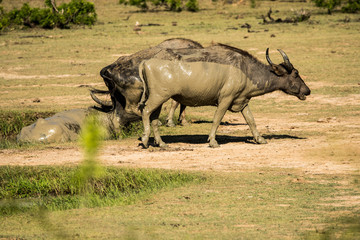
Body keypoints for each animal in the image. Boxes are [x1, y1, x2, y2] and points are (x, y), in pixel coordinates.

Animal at [139, 44, 310, 147]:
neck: (246, 71)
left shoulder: (242, 101)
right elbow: (217, 119)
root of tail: (146, 62)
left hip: (160, 99)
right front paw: (213, 141)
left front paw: (260, 139)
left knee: (154, 119)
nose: (307, 90)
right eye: (295, 74)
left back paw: (161, 143)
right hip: (158, 97)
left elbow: (251, 120)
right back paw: (145, 140)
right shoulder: (225, 100)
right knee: (146, 112)